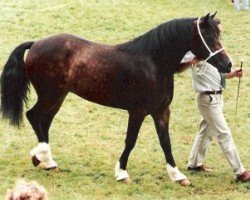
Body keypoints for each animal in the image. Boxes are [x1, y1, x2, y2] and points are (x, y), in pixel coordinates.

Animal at [0, 13, 231, 186]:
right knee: (33, 116)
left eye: (219, 33)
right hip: (50, 94)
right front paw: (121, 173)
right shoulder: (137, 111)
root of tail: (36, 43)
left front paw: (178, 175)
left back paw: (47, 161)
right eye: (208, 36)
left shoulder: (161, 111)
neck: (154, 63)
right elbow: (131, 140)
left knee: (44, 121)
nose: (228, 65)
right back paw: (41, 156)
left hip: (58, 96)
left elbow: (165, 141)